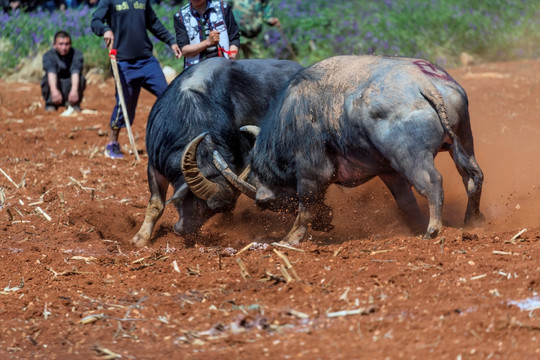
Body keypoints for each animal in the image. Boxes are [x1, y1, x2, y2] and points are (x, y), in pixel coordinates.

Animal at [129, 57, 302, 248]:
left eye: (210, 212)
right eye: (198, 205)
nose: (184, 231)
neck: (192, 113)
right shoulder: (154, 164)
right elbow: (156, 204)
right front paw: (141, 238)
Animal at [207, 54, 486, 245]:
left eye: (271, 204)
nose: (327, 221)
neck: (292, 119)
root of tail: (425, 84)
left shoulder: (311, 174)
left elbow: (305, 207)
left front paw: (289, 239)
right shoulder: (388, 172)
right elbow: (405, 203)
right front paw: (414, 226)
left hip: (412, 158)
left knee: (433, 183)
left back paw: (433, 229)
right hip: (463, 143)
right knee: (473, 178)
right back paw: (472, 221)